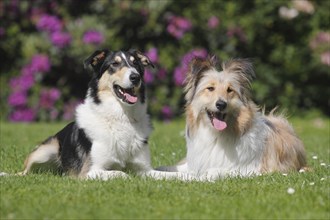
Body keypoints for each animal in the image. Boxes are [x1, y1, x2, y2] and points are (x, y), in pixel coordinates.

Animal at [19, 48, 192, 180]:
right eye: (114, 64)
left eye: (135, 64)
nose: (135, 77)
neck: (121, 117)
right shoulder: (89, 171)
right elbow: (121, 173)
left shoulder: (145, 170)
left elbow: (173, 175)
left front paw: (192, 178)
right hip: (46, 151)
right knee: (25, 170)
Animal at [158, 56, 306, 180]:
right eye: (210, 88)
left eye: (230, 90)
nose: (221, 104)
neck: (215, 135)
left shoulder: (250, 168)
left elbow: (211, 172)